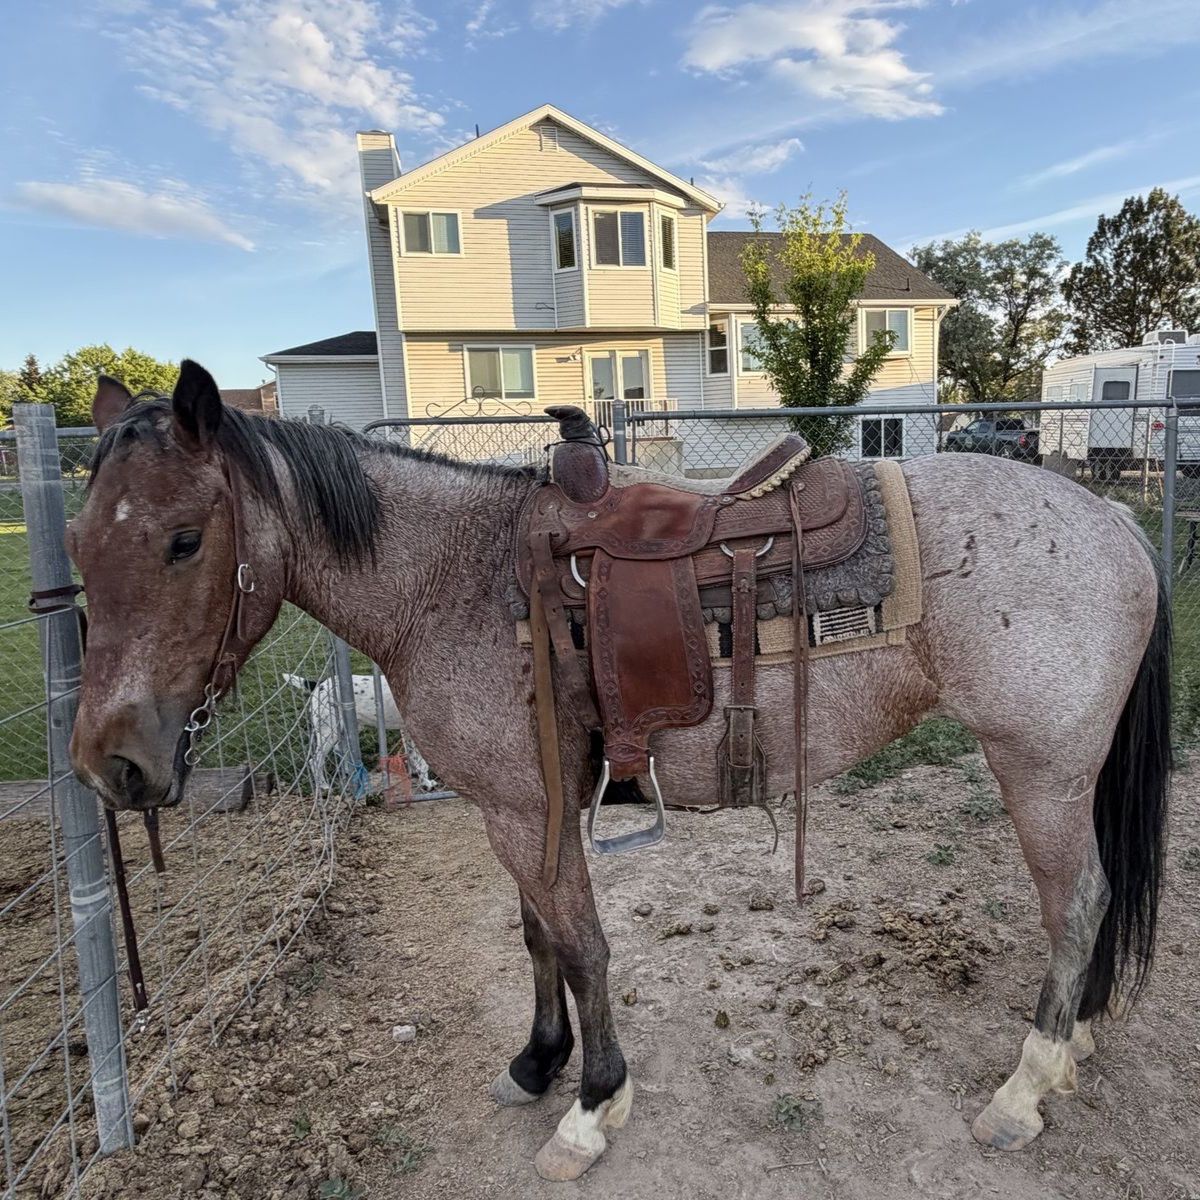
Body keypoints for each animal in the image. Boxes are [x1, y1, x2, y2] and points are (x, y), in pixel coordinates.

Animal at [68, 361, 1169, 1182]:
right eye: (79, 542)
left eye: (184, 539)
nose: (110, 762)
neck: (453, 582)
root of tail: (1116, 524)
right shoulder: (520, 811)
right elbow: (539, 940)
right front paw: (536, 1062)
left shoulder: (530, 812)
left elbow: (584, 947)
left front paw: (593, 1105)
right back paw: (1072, 1046)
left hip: (1040, 772)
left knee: (1078, 903)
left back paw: (1025, 1089)